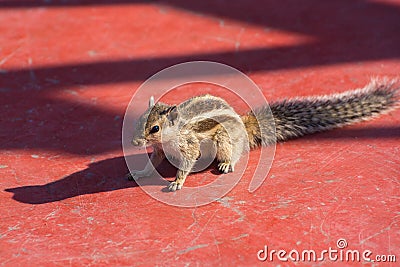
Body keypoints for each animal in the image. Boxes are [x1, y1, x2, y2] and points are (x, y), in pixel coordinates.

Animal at [127, 78, 396, 192]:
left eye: (155, 128)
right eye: (139, 121)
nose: (134, 142)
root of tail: (244, 126)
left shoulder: (189, 145)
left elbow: (187, 162)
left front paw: (177, 182)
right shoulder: (160, 150)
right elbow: (153, 163)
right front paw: (140, 173)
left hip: (224, 140)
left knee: (232, 153)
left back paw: (226, 163)